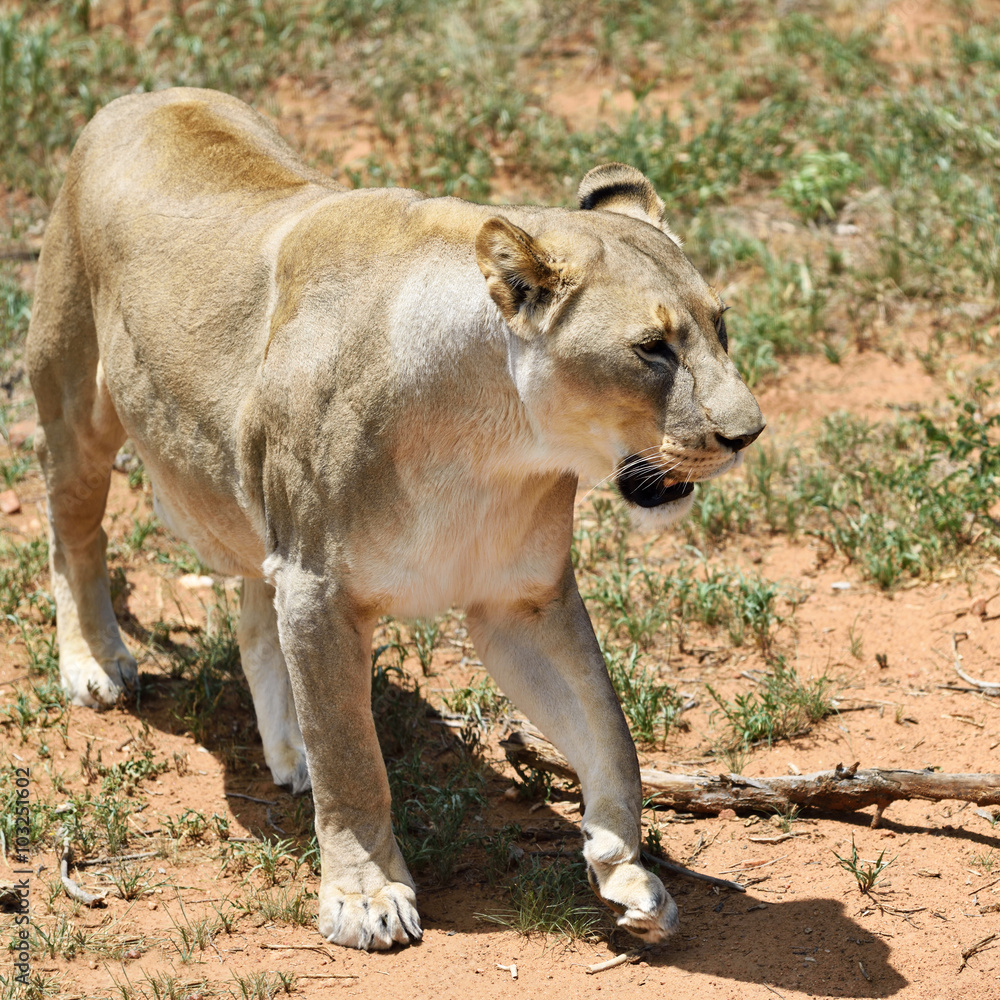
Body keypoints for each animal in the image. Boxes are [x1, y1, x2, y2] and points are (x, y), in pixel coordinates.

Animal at [27, 88, 764, 951]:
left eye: (722, 325)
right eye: (651, 348)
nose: (748, 433)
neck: (492, 442)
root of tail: (144, 95)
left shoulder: (520, 600)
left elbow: (608, 733)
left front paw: (623, 868)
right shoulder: (320, 585)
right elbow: (354, 762)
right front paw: (366, 895)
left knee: (257, 612)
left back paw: (289, 744)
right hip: (76, 402)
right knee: (72, 530)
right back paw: (95, 663)